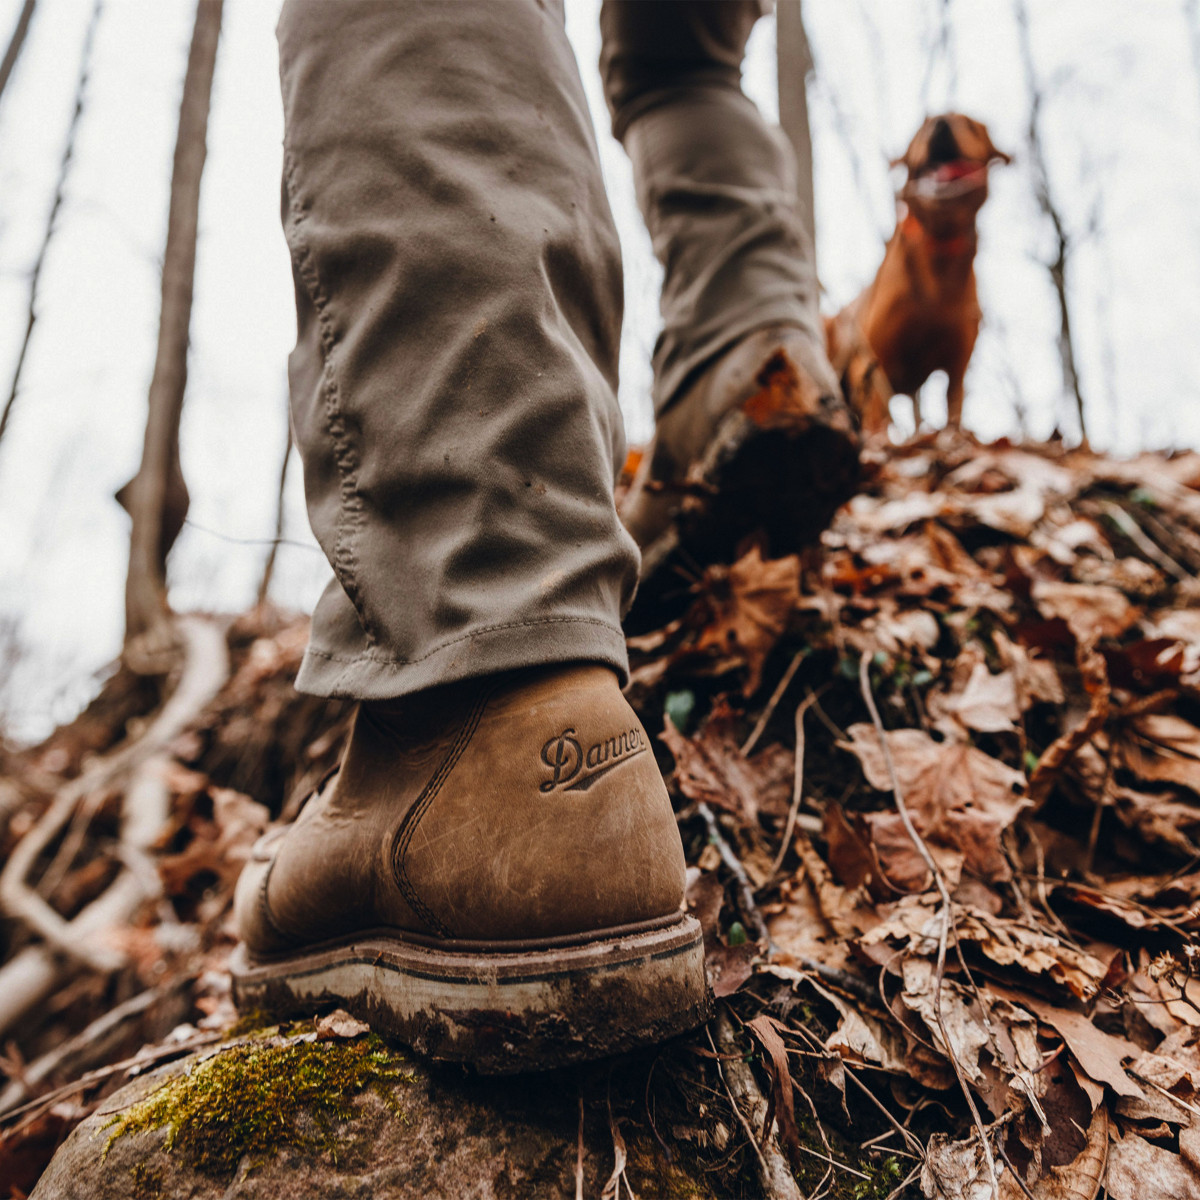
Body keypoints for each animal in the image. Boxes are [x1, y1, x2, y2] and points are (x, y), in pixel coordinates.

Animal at [820, 114, 1008, 434]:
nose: (941, 124)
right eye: (923, 128)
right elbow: (877, 421)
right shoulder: (875, 365)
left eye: (969, 124)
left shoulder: (957, 368)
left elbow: (953, 417)